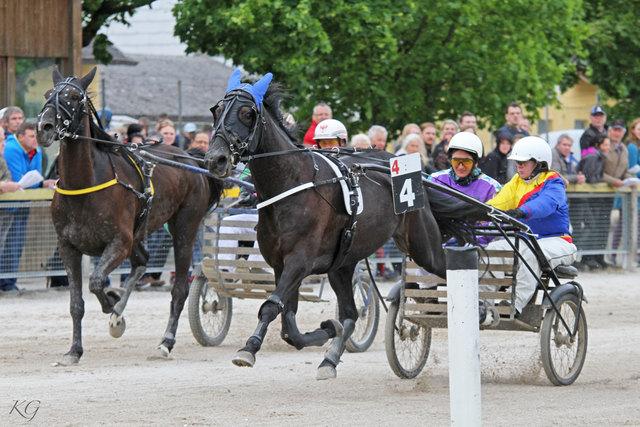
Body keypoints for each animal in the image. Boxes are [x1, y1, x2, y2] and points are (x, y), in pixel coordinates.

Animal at [37, 68, 224, 366]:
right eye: (48, 94)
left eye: (75, 96)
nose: (44, 128)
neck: (83, 185)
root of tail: (190, 158)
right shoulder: (68, 247)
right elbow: (77, 303)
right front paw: (74, 350)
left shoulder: (118, 243)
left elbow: (96, 281)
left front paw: (111, 303)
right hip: (139, 231)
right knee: (142, 262)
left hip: (184, 226)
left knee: (180, 290)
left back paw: (165, 343)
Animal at [208, 71, 448, 382]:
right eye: (215, 112)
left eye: (247, 113)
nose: (216, 159)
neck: (292, 183)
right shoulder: (280, 265)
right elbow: (289, 325)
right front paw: (328, 329)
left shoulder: (299, 261)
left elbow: (271, 307)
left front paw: (248, 348)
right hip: (342, 264)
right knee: (350, 313)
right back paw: (330, 359)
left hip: (422, 244)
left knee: (449, 266)